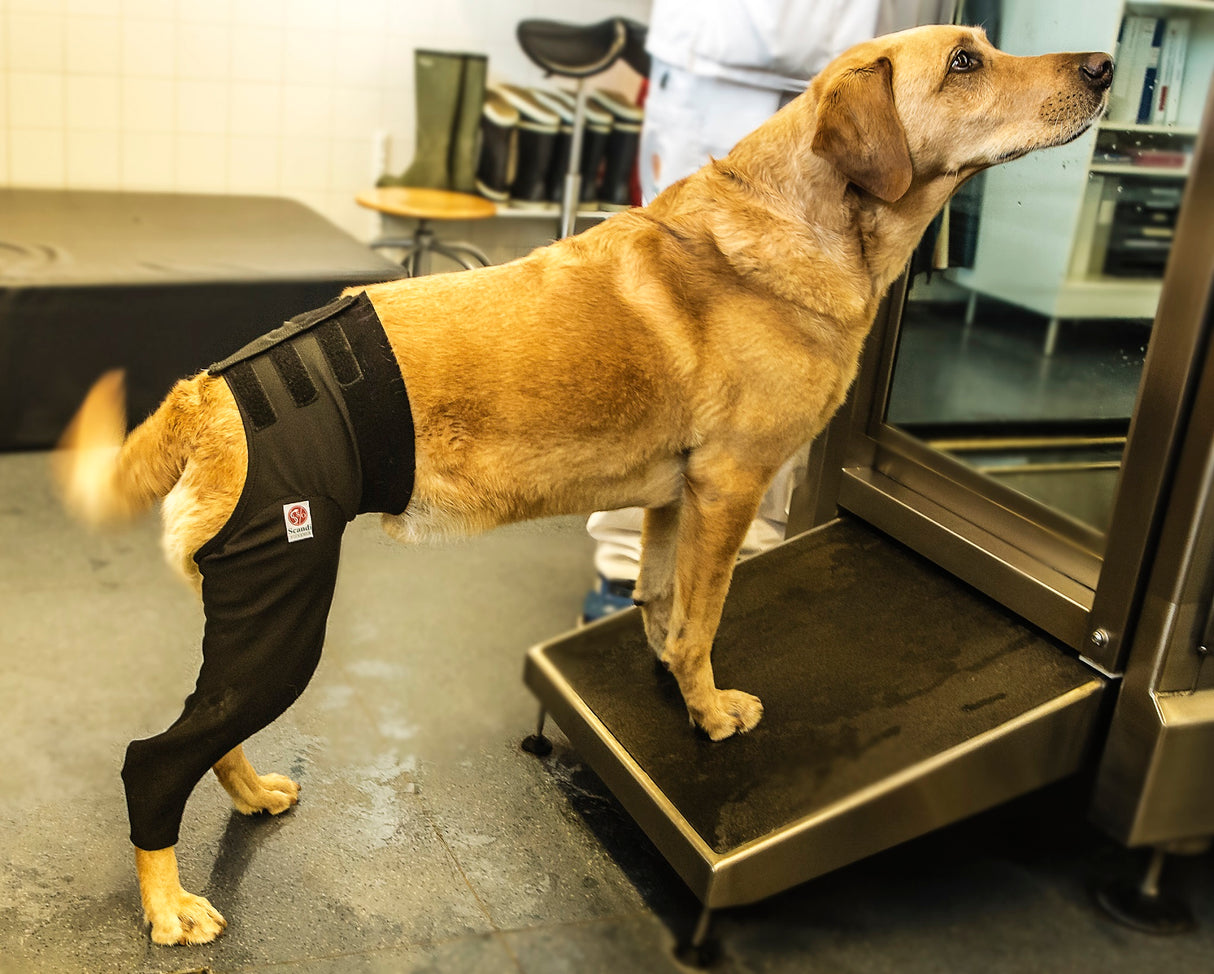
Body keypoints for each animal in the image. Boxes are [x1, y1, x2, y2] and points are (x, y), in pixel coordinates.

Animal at [61, 26, 1112, 942]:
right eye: (968, 60)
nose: (1104, 65)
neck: (798, 218)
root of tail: (208, 392)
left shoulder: (673, 497)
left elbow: (663, 604)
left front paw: (665, 668)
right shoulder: (731, 485)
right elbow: (703, 619)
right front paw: (707, 713)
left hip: (248, 619)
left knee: (208, 731)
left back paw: (247, 796)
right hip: (284, 611)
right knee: (153, 760)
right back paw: (167, 906)